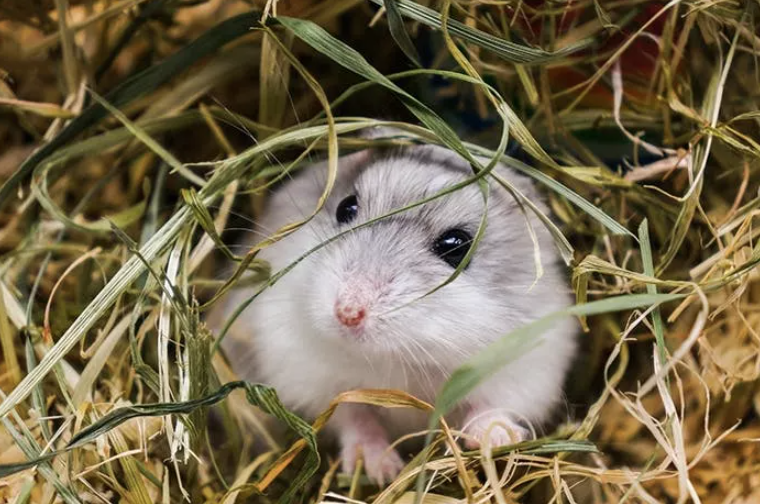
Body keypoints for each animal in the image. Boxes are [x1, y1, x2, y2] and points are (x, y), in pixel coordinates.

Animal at [214, 134, 576, 484]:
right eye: (346, 207)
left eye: (455, 245)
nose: (347, 313)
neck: (397, 356)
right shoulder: (308, 373)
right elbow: (351, 414)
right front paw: (379, 469)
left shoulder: (526, 368)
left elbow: (491, 406)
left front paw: (496, 440)